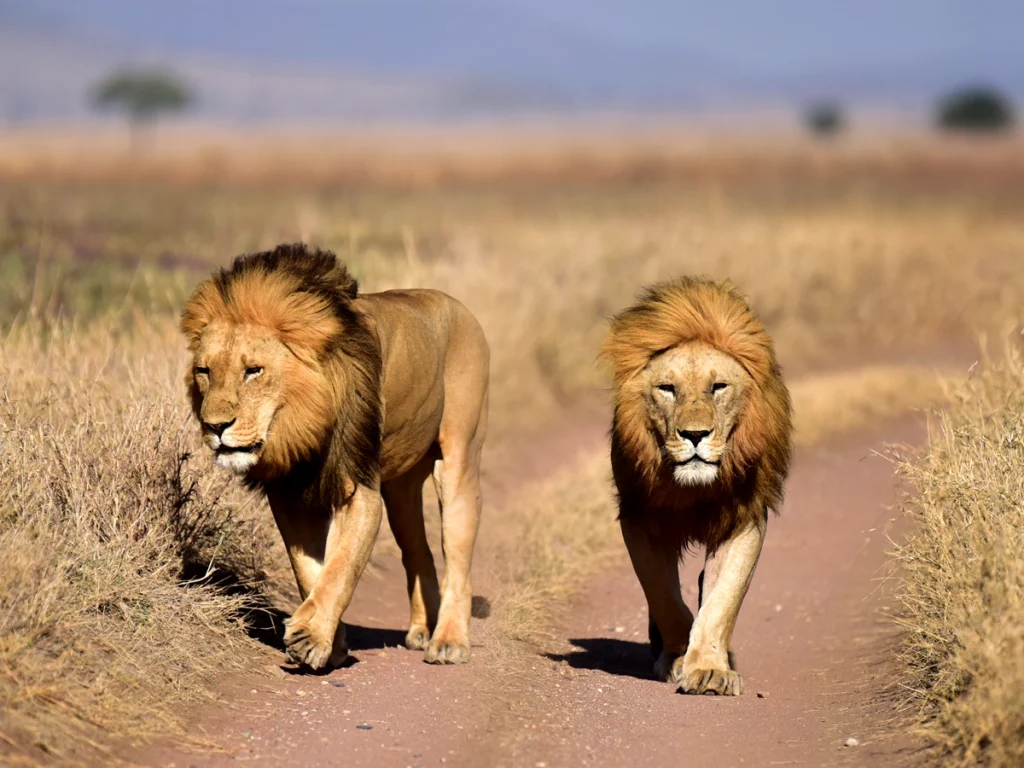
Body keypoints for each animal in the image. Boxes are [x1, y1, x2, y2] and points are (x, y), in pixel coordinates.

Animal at [178, 243, 489, 671]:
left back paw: (449, 642)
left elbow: (342, 566)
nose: (215, 426)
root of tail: (460, 308)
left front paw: (311, 637)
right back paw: (422, 630)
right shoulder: (289, 494)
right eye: (204, 371)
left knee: (457, 557)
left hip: (458, 462)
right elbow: (309, 569)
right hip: (400, 490)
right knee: (418, 551)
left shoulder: (358, 489)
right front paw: (331, 642)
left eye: (253, 371)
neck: (301, 419)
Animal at [598, 278, 790, 696]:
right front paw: (676, 657)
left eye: (718, 387)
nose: (696, 434)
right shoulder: (640, 520)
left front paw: (709, 669)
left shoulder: (744, 518)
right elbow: (664, 597)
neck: (692, 490)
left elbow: (722, 600)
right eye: (666, 388)